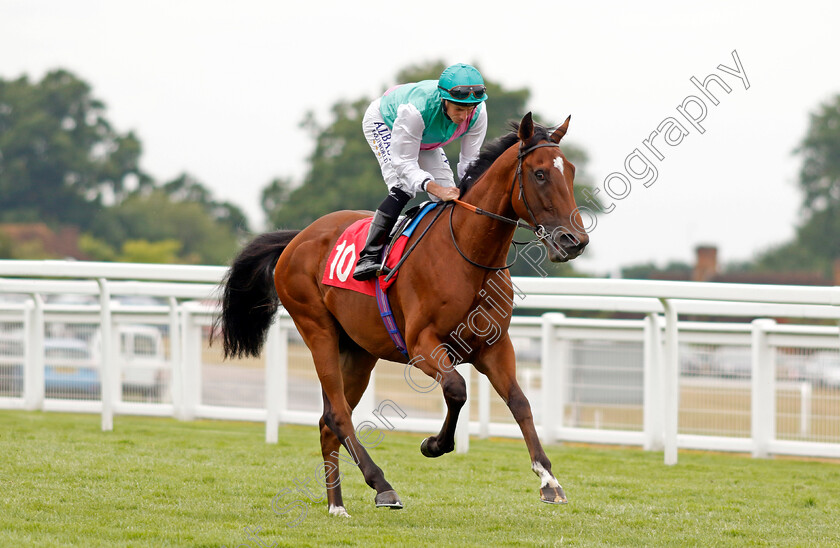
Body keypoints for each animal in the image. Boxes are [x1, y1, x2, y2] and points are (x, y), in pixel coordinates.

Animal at [213, 112, 588, 520]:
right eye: (539, 173)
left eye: (570, 171)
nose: (574, 241)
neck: (469, 255)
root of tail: (298, 237)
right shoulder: (422, 346)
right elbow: (457, 389)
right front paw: (433, 444)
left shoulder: (494, 347)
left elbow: (520, 403)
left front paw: (548, 480)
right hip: (316, 329)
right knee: (339, 415)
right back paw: (382, 485)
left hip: (359, 351)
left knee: (328, 422)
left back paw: (336, 505)